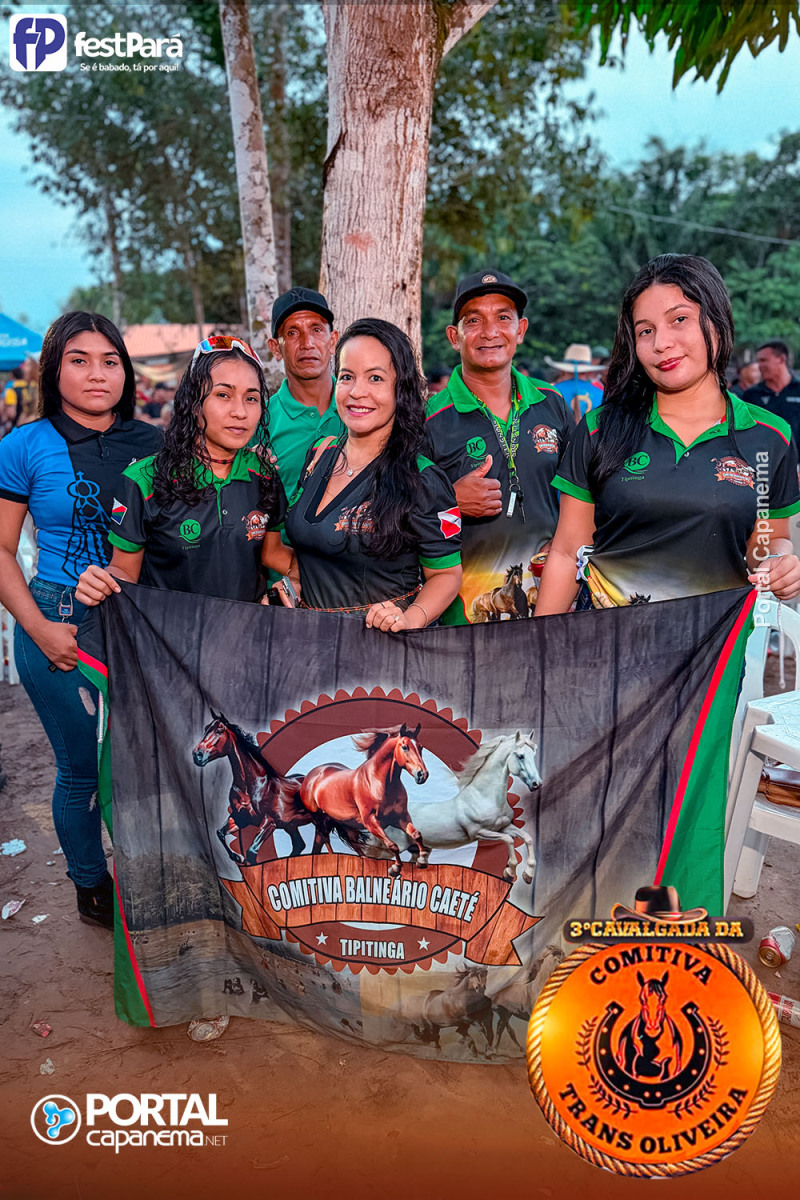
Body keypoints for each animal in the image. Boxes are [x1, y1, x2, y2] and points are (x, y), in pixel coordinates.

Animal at [192, 711, 312, 866]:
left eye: (219, 730)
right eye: (206, 728)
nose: (197, 755)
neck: (251, 787)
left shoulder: (269, 821)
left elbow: (251, 852)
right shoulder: (240, 818)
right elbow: (220, 833)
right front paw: (237, 857)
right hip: (290, 825)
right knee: (299, 845)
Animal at [299, 723, 430, 878]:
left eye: (420, 747)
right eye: (405, 747)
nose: (422, 775)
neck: (380, 783)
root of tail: (311, 776)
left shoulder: (400, 817)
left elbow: (416, 835)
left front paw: (422, 861)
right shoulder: (371, 822)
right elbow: (393, 845)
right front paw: (395, 868)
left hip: (346, 824)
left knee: (350, 844)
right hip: (320, 820)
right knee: (324, 839)